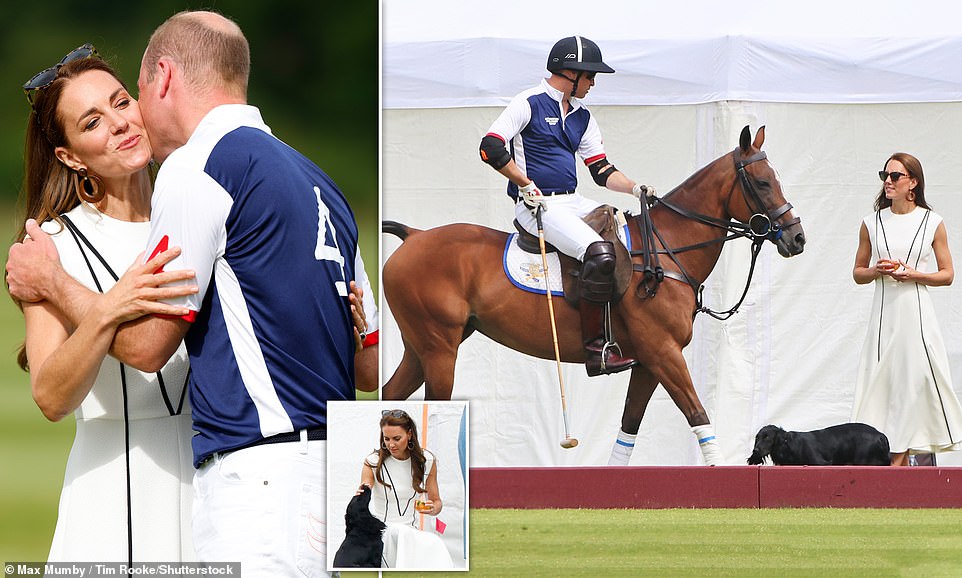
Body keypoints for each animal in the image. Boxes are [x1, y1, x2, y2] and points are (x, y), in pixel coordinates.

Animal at [380, 126, 804, 464]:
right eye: (763, 183)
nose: (797, 237)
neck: (667, 251)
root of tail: (414, 236)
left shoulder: (648, 361)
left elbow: (629, 428)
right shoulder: (664, 352)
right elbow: (698, 414)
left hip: (422, 347)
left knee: (390, 394)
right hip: (439, 346)